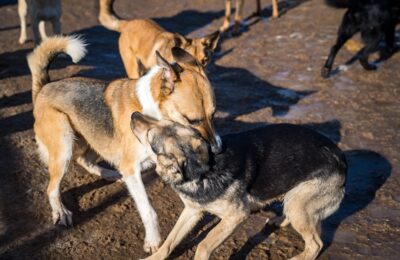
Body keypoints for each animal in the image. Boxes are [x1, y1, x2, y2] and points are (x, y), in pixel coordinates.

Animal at [27, 35, 222, 253]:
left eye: (213, 115)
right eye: (192, 120)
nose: (218, 149)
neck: (153, 111)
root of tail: (43, 88)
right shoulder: (131, 169)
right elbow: (148, 210)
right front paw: (153, 241)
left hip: (97, 140)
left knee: (84, 160)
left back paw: (110, 173)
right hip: (65, 144)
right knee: (52, 187)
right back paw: (60, 211)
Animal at [130, 112, 346, 260]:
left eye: (149, 136)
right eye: (160, 120)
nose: (134, 114)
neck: (200, 168)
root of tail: (341, 158)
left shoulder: (236, 216)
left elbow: (204, 245)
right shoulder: (192, 211)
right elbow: (170, 240)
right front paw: (154, 258)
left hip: (298, 204)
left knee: (315, 244)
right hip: (295, 200)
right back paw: (279, 220)